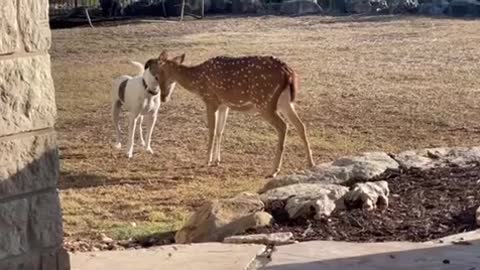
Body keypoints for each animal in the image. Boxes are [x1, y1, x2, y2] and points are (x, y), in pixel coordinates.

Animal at [149, 50, 316, 177]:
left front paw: (207, 160)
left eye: (158, 75)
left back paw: (274, 170)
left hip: (264, 102)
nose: (163, 97)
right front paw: (217, 160)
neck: (197, 82)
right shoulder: (224, 105)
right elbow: (220, 131)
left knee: (283, 126)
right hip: (285, 102)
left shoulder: (211, 100)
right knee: (301, 125)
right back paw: (310, 163)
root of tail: (289, 73)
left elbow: (211, 130)